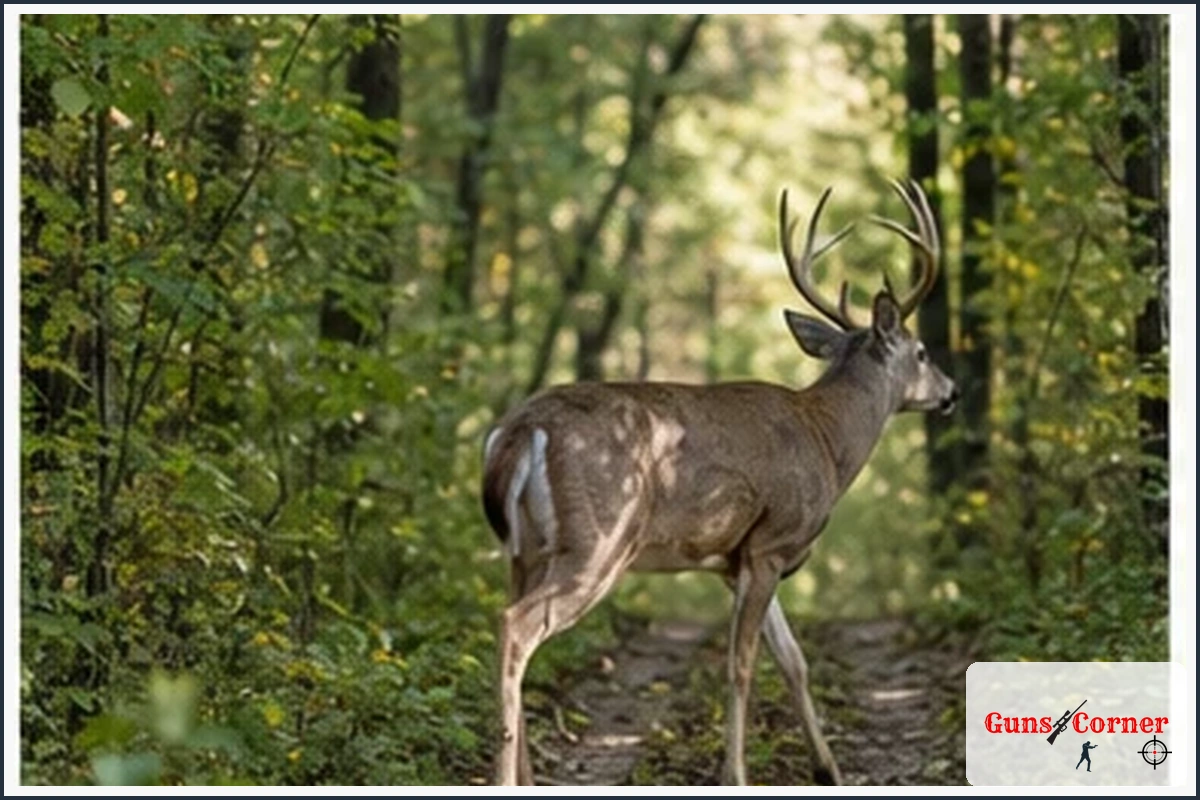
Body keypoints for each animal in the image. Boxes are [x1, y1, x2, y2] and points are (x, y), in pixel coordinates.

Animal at [481, 179, 957, 785]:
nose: (952, 391)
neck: (828, 441)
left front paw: (827, 769)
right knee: (516, 628)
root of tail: (519, 431)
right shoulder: (772, 541)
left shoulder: (739, 560)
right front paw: (736, 773)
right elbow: (742, 665)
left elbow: (794, 660)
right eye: (922, 352)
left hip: (522, 551)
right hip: (597, 540)